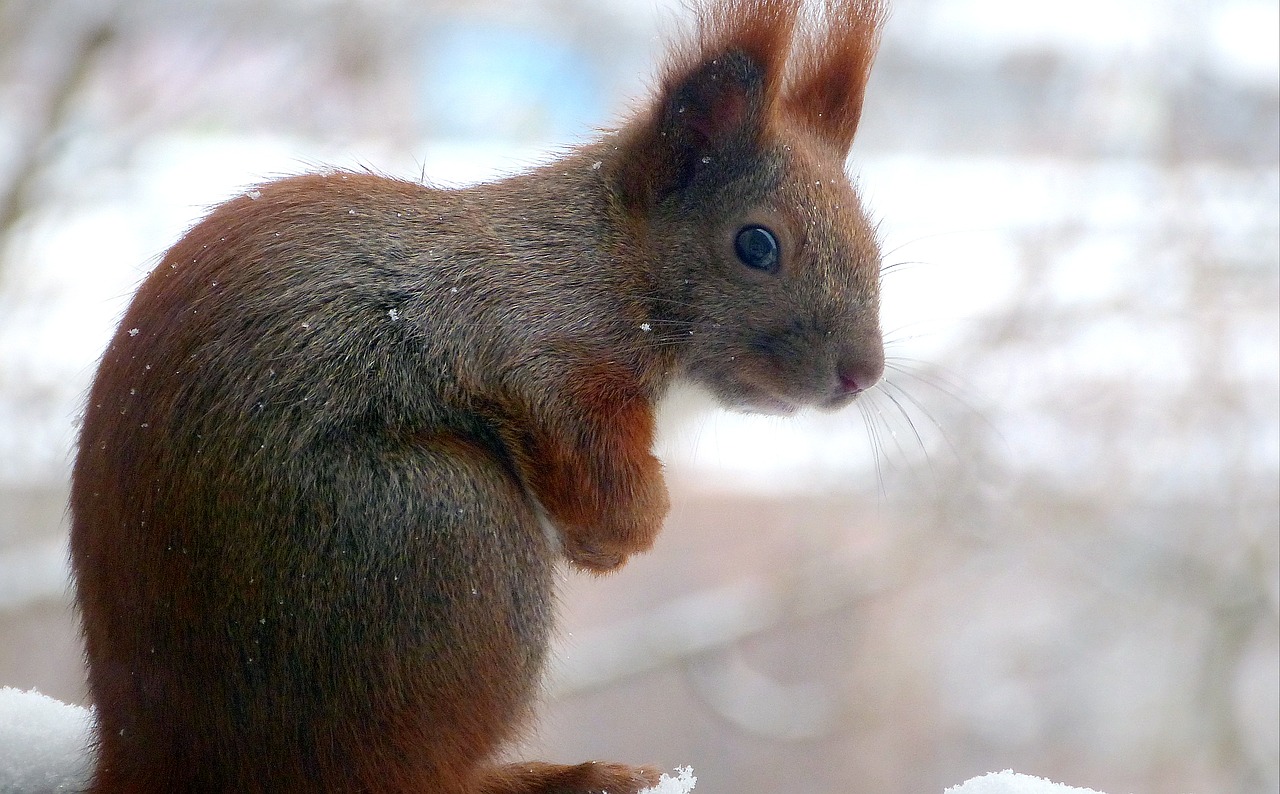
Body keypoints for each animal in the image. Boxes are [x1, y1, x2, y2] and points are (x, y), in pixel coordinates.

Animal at [67, 0, 890, 788]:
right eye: (757, 245)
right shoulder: (531, 338)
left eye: (872, 243)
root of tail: (142, 754)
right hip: (446, 535)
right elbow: (573, 435)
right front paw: (626, 529)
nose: (864, 373)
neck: (610, 258)